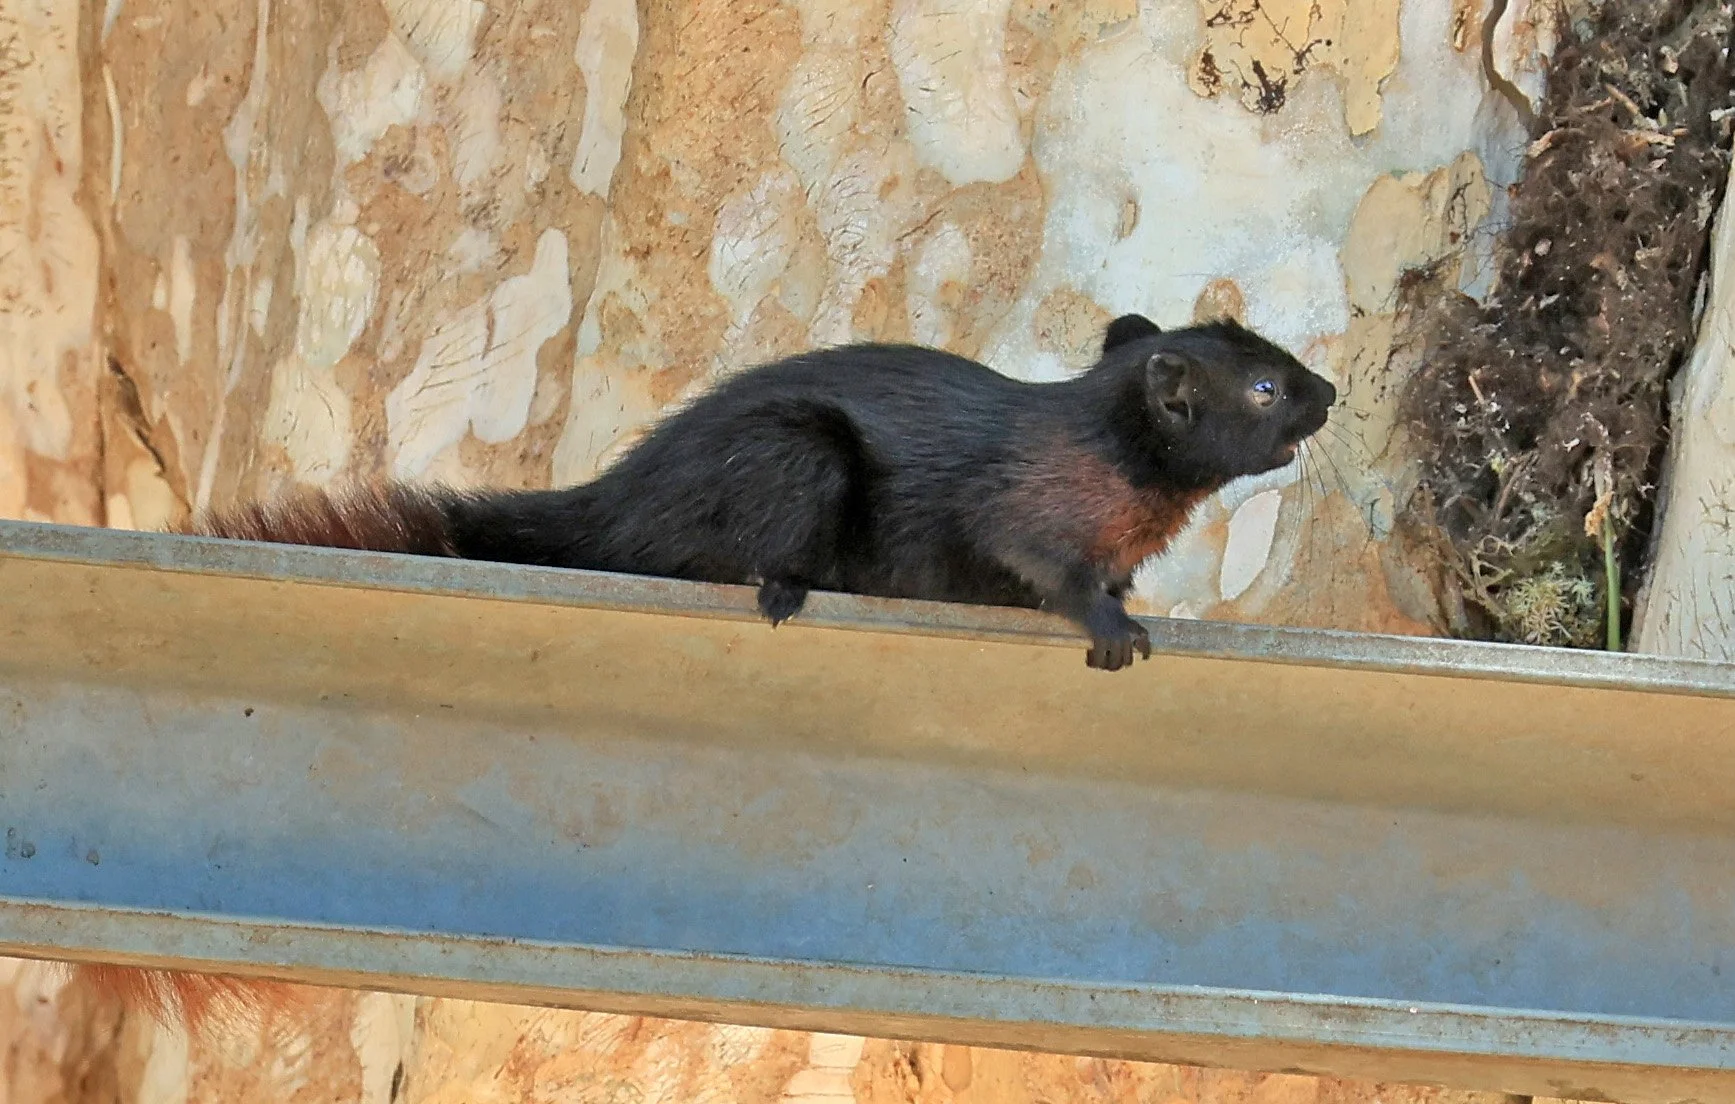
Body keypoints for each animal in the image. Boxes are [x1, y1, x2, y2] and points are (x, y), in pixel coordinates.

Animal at [63, 311, 1335, 1034]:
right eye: (1264, 389)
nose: (1327, 392)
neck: (1116, 464)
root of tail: (613, 498)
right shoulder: (1026, 501)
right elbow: (1044, 566)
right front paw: (1112, 626)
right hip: (789, 458)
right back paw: (781, 586)